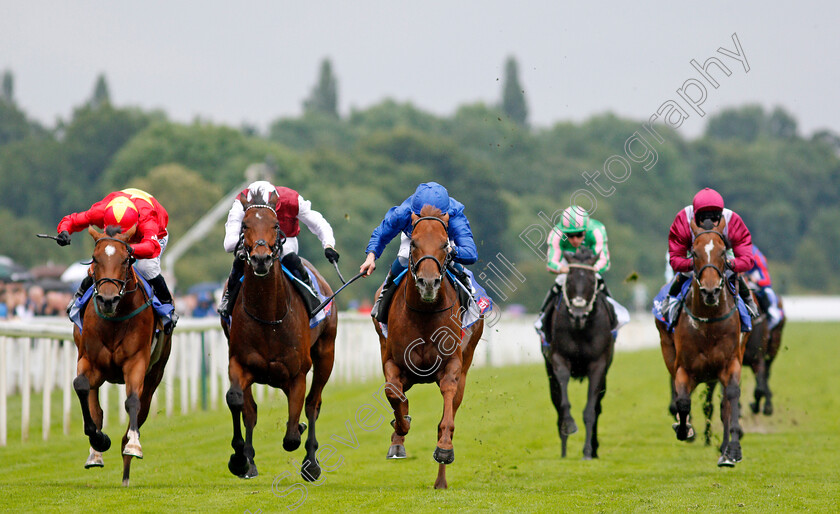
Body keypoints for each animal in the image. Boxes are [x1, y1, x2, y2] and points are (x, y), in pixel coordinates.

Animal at [71, 224, 171, 484]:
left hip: (155, 373)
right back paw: (95, 454)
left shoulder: (136, 362)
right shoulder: (89, 360)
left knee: (142, 407)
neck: (114, 321)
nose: (107, 300)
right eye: (94, 259)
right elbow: (81, 387)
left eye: (126, 259)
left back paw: (126, 466)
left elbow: (133, 401)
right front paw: (99, 440)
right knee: (95, 407)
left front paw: (133, 446)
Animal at [221, 191, 336, 480]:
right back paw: (249, 461)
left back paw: (311, 463)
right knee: (251, 410)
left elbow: (292, 436)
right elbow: (237, 401)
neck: (269, 316)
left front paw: (302, 439)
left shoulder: (297, 373)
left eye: (275, 225)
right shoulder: (239, 362)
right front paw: (239, 458)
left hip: (326, 355)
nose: (261, 258)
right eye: (245, 226)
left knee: (313, 403)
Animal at [376, 205, 486, 488]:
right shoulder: (393, 361)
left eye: (445, 244)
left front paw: (444, 448)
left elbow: (447, 402)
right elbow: (393, 393)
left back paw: (440, 480)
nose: (428, 282)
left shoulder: (452, 364)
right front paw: (400, 429)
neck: (425, 312)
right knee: (399, 394)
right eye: (414, 242)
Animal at [540, 246, 612, 458]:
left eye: (591, 279)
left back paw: (593, 449)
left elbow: (591, 410)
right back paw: (564, 450)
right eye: (570, 279)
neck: (581, 328)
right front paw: (569, 426)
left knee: (598, 407)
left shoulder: (598, 365)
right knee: (557, 404)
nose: (578, 313)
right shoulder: (558, 359)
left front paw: (588, 451)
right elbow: (563, 403)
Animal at [656, 215, 748, 464]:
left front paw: (732, 450)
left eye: (723, 252)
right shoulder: (684, 368)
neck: (708, 323)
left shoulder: (730, 363)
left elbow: (731, 397)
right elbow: (682, 401)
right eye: (694, 253)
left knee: (725, 403)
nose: (710, 291)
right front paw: (683, 429)